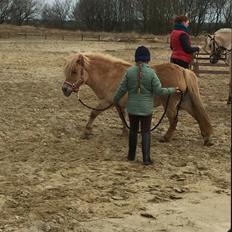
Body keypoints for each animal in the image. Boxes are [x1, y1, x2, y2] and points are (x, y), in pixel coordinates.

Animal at [62, 53, 213, 146]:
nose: (65, 89)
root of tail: (182, 70)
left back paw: (166, 138)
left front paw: (87, 131)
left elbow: (94, 113)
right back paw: (206, 138)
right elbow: (122, 118)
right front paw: (125, 132)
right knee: (198, 116)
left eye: (74, 71)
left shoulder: (108, 101)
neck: (110, 75)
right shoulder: (118, 104)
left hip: (169, 104)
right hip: (185, 102)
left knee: (174, 121)